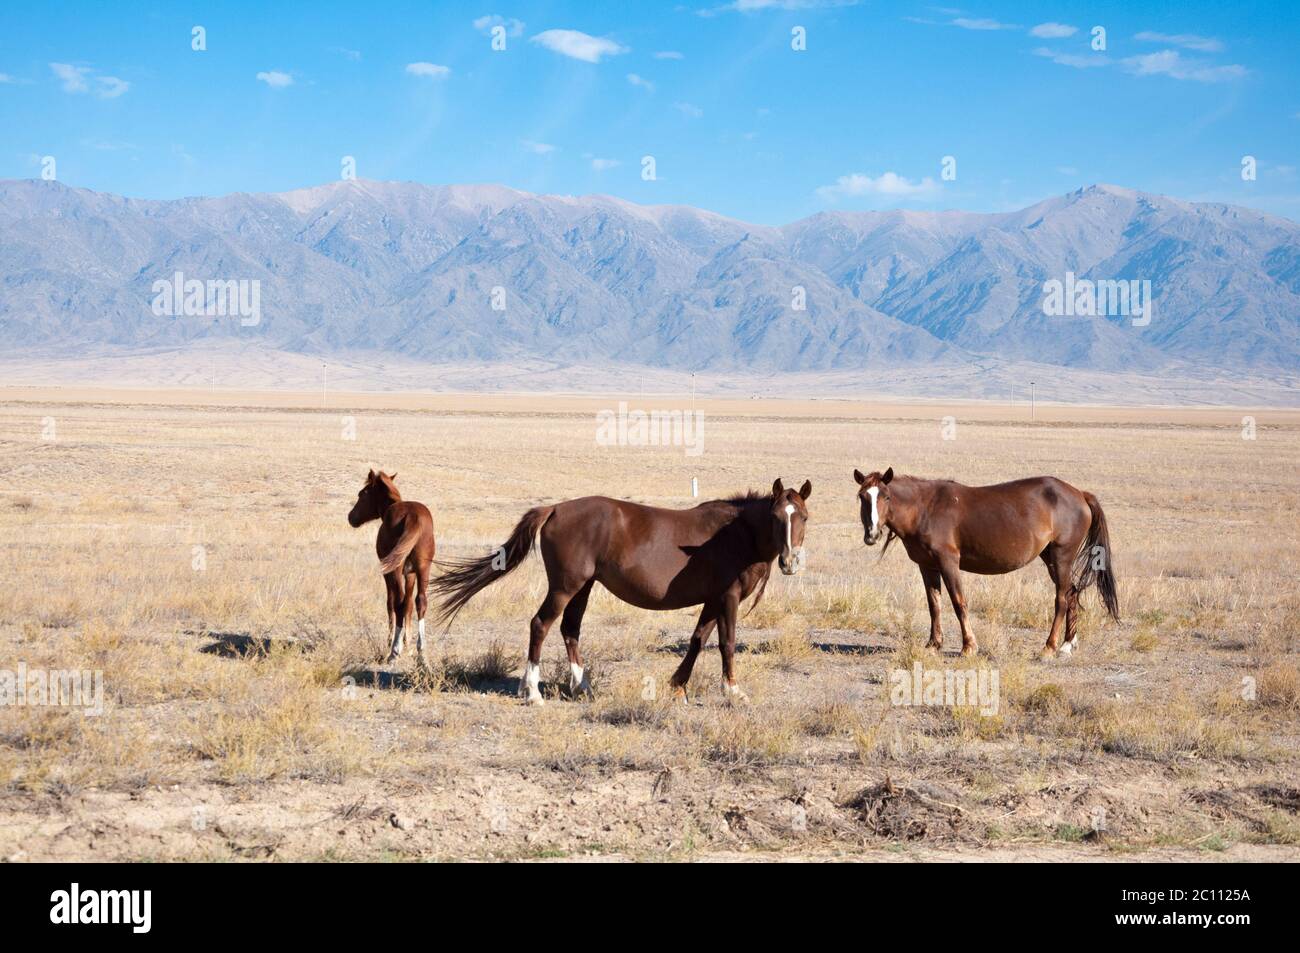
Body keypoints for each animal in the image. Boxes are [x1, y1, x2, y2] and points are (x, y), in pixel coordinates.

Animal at [347, 470, 436, 665]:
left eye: (362, 494)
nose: (351, 517)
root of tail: (413, 517)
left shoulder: (389, 573)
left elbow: (391, 603)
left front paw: (394, 643)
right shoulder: (410, 574)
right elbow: (410, 605)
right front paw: (408, 643)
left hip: (395, 571)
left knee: (399, 603)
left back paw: (394, 652)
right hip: (424, 568)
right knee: (420, 601)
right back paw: (422, 653)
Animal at [430, 479, 813, 705]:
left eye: (804, 517)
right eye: (777, 516)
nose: (790, 561)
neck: (736, 533)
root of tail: (555, 509)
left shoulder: (711, 600)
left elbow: (697, 640)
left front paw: (677, 685)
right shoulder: (727, 598)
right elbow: (727, 643)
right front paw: (733, 691)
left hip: (583, 587)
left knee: (570, 629)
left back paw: (582, 687)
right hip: (566, 586)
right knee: (541, 624)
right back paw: (532, 692)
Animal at [853, 468, 1119, 659]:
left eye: (886, 496)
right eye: (862, 497)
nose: (871, 534)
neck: (924, 508)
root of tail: (1080, 494)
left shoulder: (948, 562)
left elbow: (959, 603)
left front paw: (969, 646)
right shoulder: (927, 566)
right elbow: (934, 605)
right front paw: (933, 644)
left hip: (1062, 556)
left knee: (1062, 599)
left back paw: (1049, 647)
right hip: (1051, 558)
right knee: (1072, 593)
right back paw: (1067, 644)